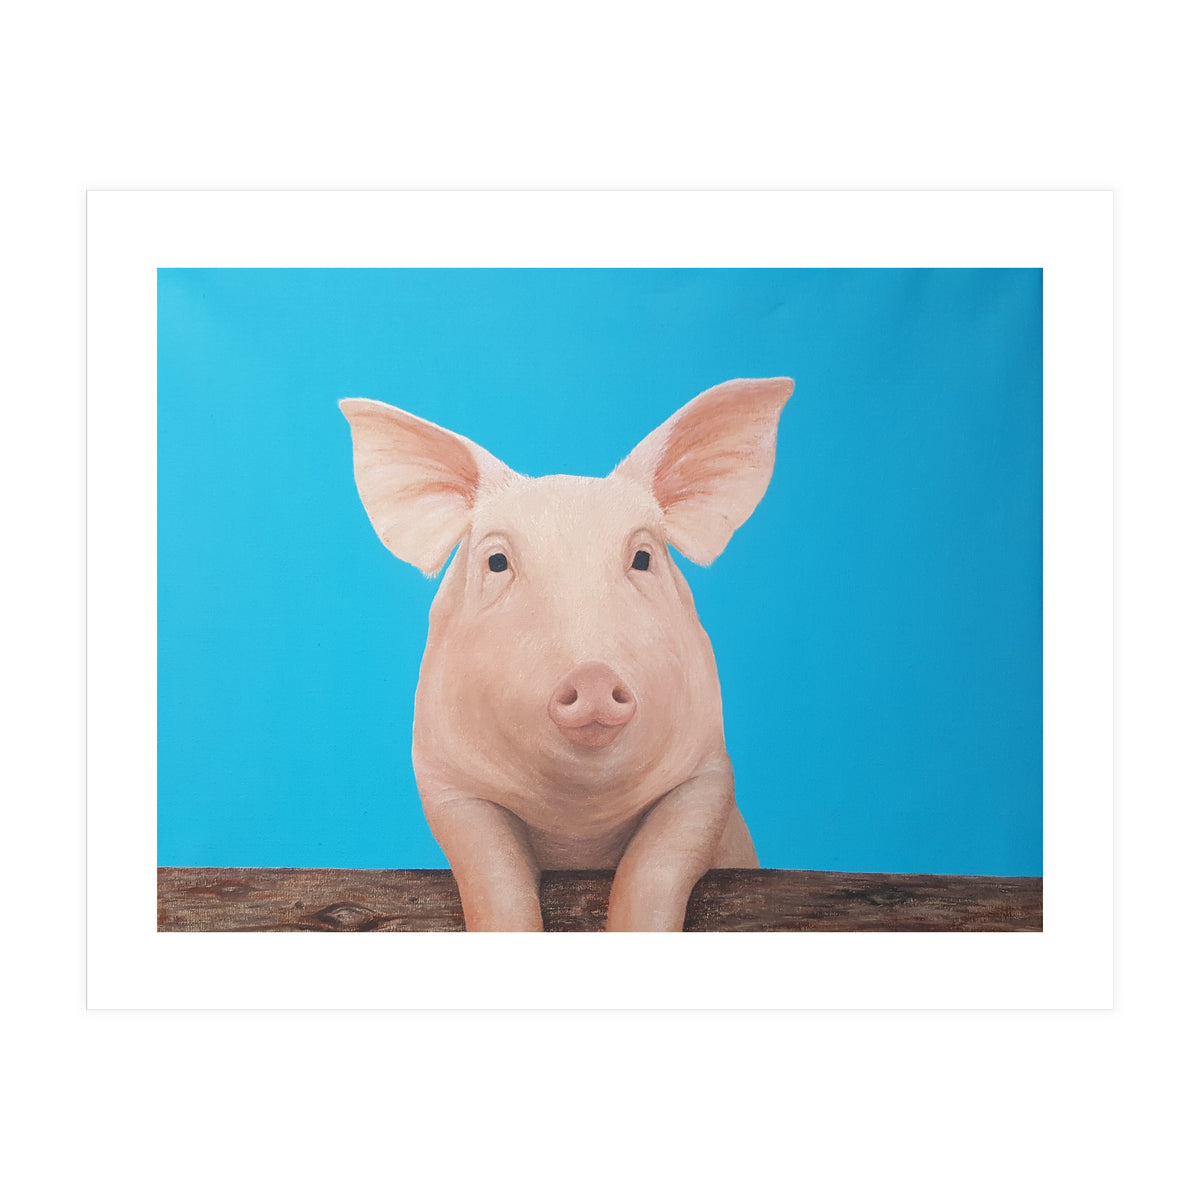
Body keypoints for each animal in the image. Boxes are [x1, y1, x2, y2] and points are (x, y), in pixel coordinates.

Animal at [340, 376, 793, 931]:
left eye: (643, 557)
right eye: (497, 561)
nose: (593, 675)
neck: (578, 821)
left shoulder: (708, 773)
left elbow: (655, 866)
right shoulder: (446, 782)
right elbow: (493, 875)